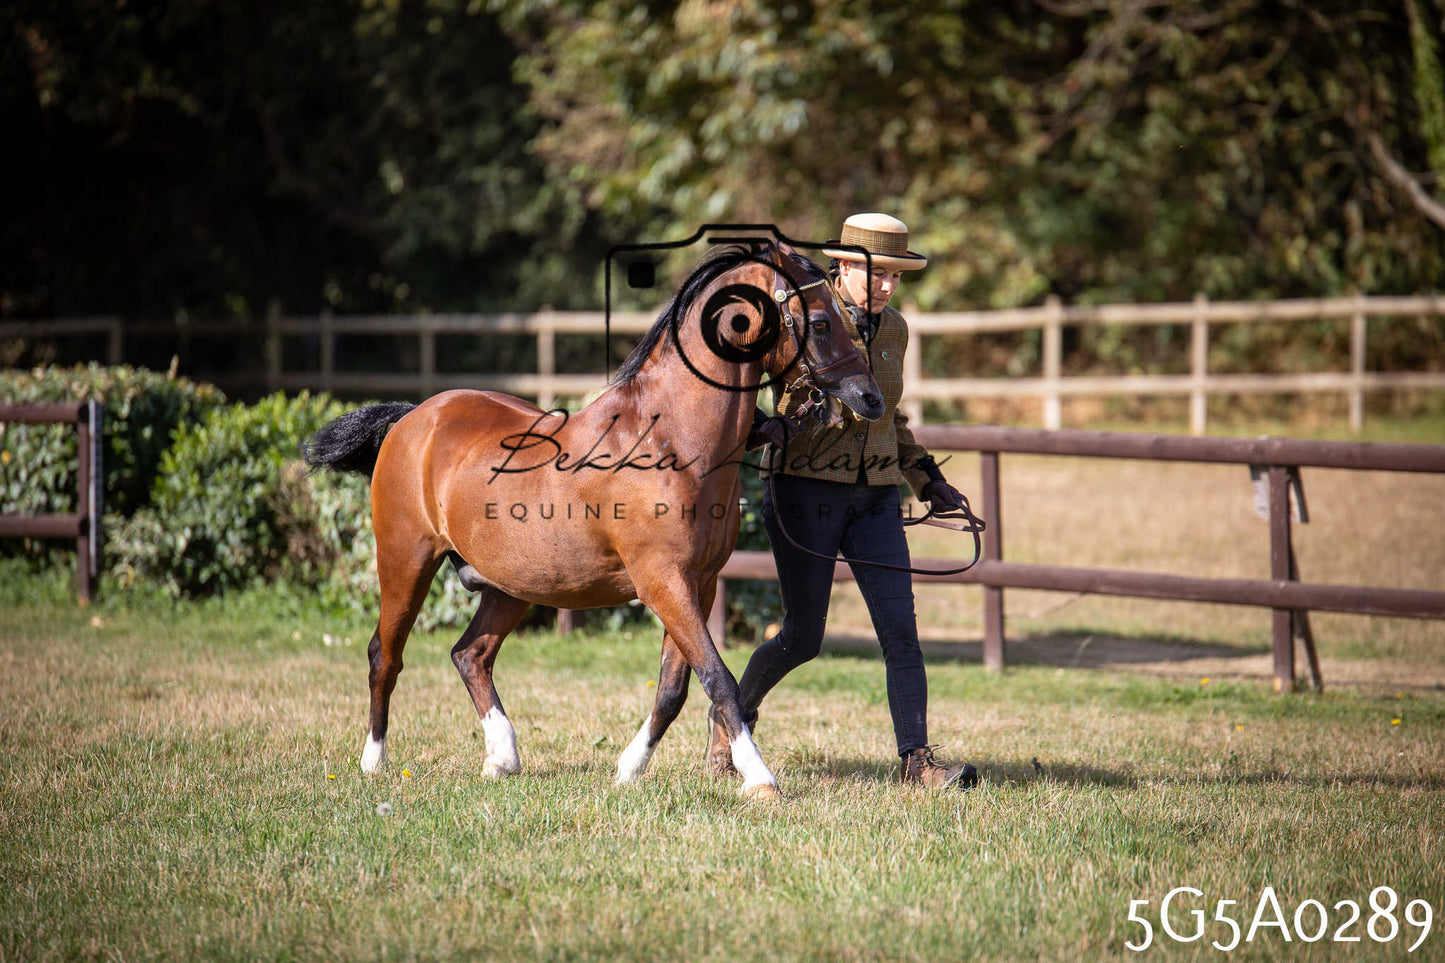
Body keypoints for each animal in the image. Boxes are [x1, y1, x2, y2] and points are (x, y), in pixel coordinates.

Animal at [303, 241, 884, 799]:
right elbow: (719, 679)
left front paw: (628, 769)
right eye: (822, 321)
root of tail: (414, 417)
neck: (670, 439)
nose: (870, 399)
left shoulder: (698, 584)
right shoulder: (663, 582)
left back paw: (502, 759)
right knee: (385, 655)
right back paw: (374, 763)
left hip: (512, 584)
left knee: (470, 655)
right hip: (406, 562)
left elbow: (674, 689)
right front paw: (759, 778)